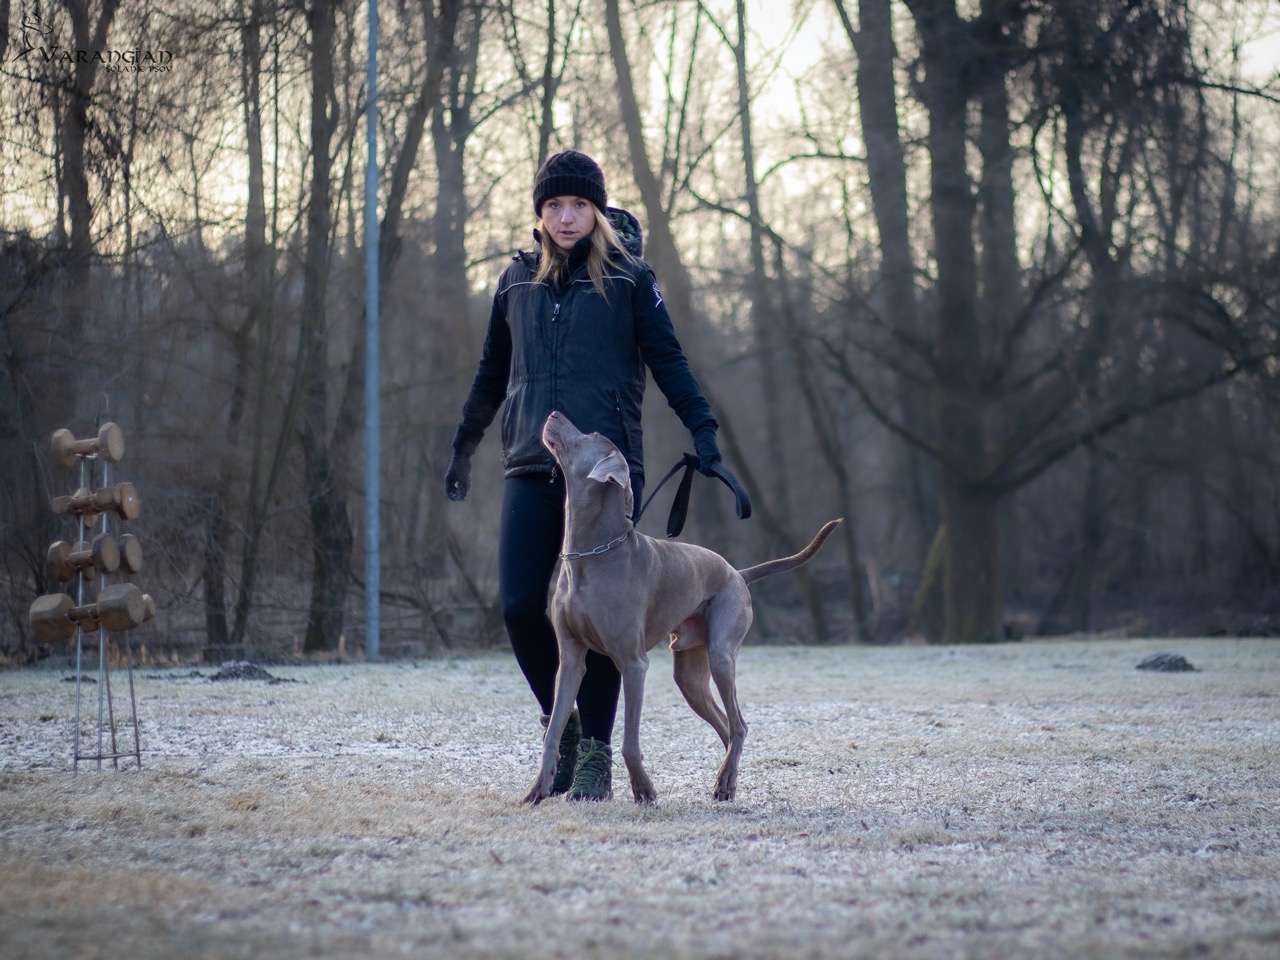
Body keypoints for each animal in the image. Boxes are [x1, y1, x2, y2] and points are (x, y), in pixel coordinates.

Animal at [524, 411, 841, 804]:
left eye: (589, 435)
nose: (553, 414)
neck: (592, 554)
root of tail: (738, 573)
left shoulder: (633, 663)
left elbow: (630, 741)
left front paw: (644, 789)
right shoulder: (570, 659)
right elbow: (554, 729)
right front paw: (538, 789)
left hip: (722, 653)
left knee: (739, 724)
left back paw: (724, 781)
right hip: (690, 673)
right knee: (727, 726)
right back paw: (727, 780)